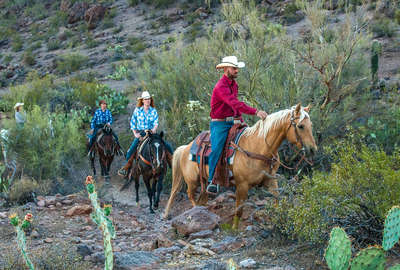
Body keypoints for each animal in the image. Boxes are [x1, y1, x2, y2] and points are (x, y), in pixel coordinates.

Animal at [162, 104, 316, 229]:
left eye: (311, 125)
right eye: (301, 126)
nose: (312, 149)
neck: (258, 147)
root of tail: (186, 147)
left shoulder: (270, 180)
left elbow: (277, 199)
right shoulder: (242, 185)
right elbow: (239, 209)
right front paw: (235, 229)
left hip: (203, 183)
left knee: (201, 198)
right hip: (192, 181)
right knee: (189, 195)